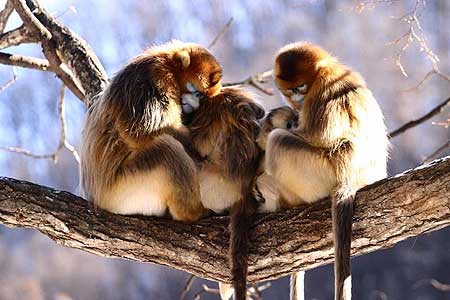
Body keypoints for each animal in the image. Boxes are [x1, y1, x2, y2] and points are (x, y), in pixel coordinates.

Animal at [266, 42, 388, 300]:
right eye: (290, 90)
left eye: (301, 87)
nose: (297, 97)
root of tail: (355, 181)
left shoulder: (325, 87)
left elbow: (319, 137)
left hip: (322, 171)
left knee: (278, 141)